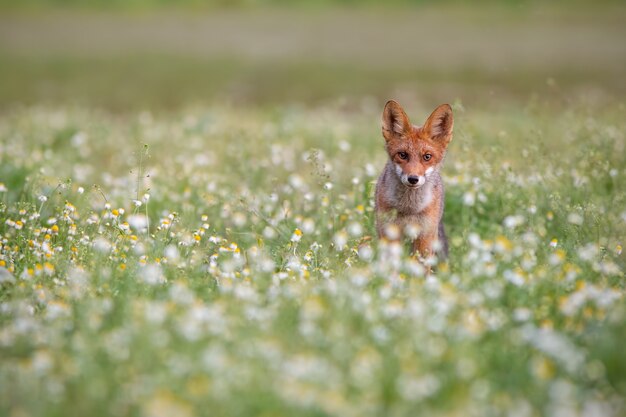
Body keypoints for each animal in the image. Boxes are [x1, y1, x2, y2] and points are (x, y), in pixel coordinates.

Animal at [372, 99, 450, 262]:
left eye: (427, 157)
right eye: (402, 155)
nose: (413, 179)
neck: (409, 208)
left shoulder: (425, 236)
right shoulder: (390, 232)